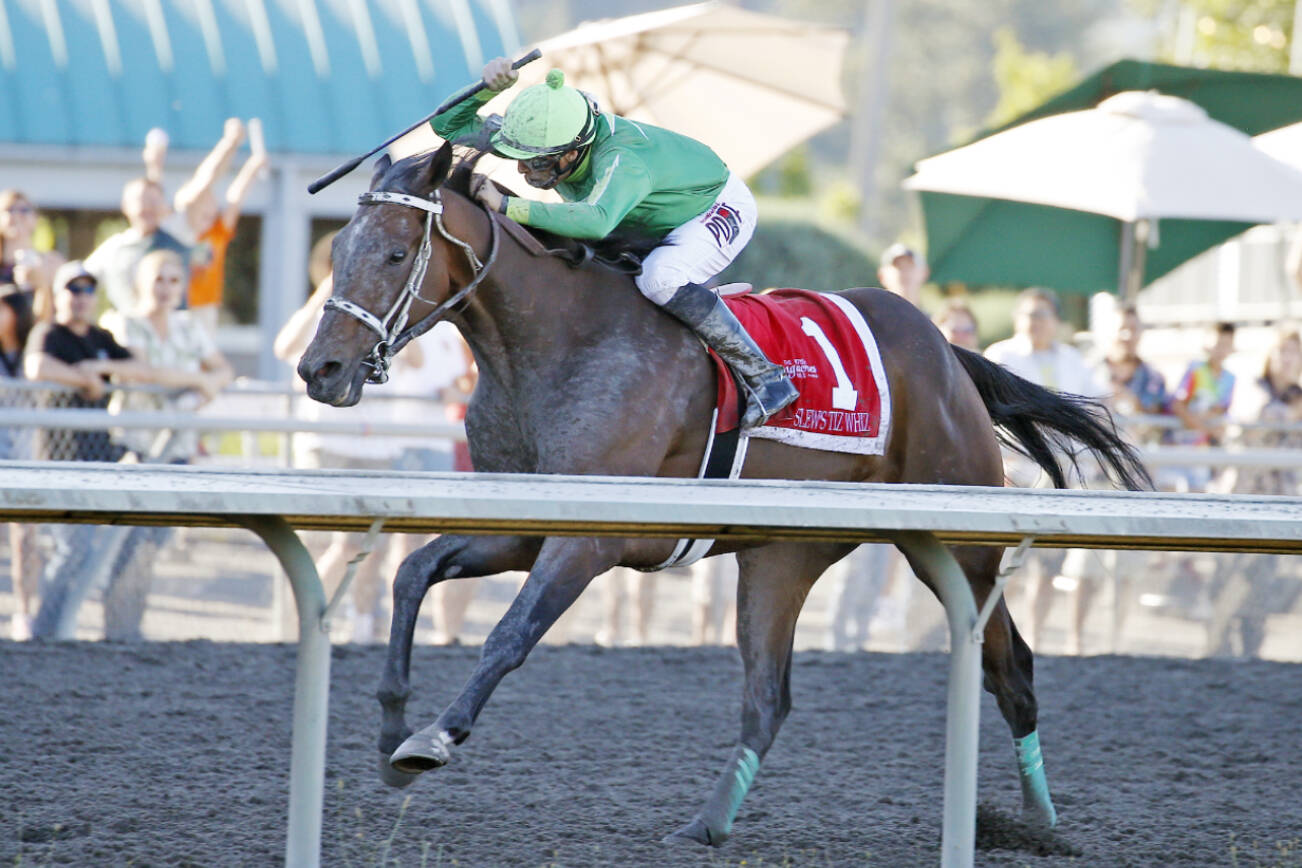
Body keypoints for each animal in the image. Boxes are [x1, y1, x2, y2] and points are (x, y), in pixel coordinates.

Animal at [298, 144, 1150, 848]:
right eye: (337, 250)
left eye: (395, 251)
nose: (319, 371)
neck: (558, 342)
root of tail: (943, 348)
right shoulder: (524, 527)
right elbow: (413, 573)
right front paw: (390, 726)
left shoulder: (587, 540)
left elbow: (509, 636)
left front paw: (433, 738)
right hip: (782, 558)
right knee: (767, 698)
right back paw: (707, 824)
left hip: (963, 545)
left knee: (1013, 670)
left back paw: (1041, 827)